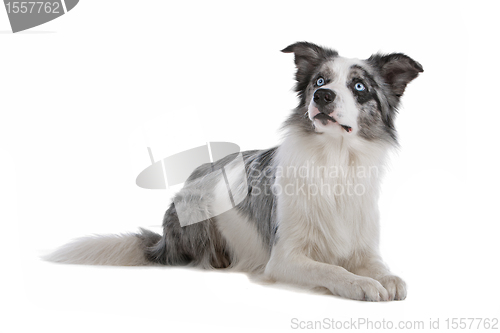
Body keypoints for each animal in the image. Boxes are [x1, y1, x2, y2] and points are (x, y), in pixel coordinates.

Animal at [46, 41, 422, 300]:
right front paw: (361, 284)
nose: (323, 96)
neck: (336, 161)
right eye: (319, 81)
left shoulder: (363, 245)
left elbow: (382, 268)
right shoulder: (284, 258)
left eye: (359, 87)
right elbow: (331, 270)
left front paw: (387, 279)